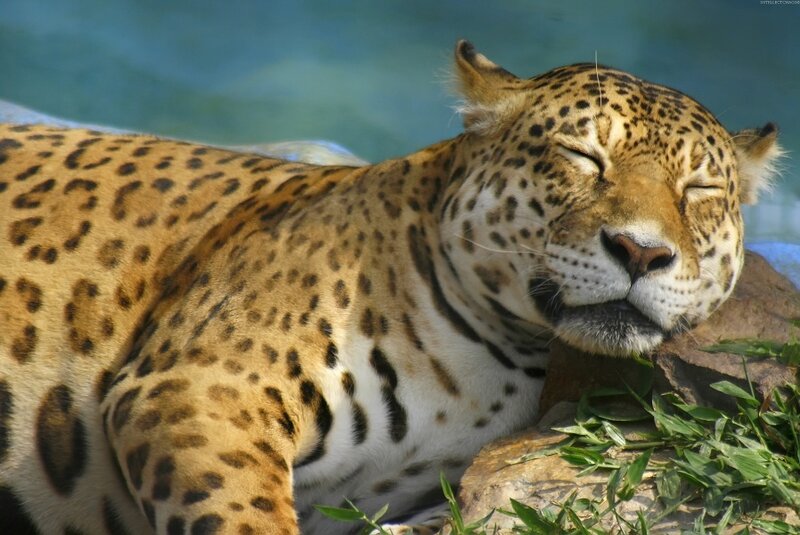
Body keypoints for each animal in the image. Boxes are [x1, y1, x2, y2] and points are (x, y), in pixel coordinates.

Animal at [0, 40, 782, 535]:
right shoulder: (197, 385)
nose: (640, 250)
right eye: (584, 157)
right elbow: (243, 514)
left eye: (699, 191)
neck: (501, 356)